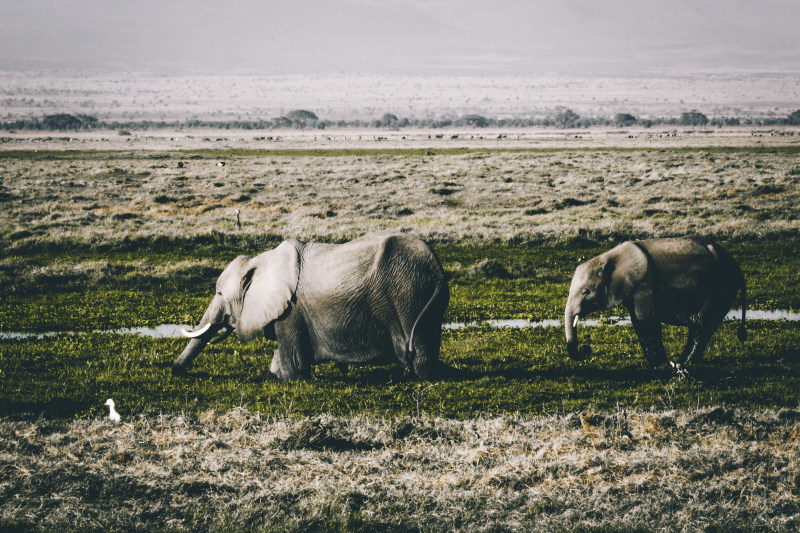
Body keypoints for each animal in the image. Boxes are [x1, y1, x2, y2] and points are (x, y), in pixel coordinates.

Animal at [173, 233, 450, 378]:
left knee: (417, 357)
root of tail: (436, 269)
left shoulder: (291, 310)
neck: (261, 261)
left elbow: (294, 366)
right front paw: (274, 373)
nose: (174, 371)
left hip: (408, 295)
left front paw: (287, 378)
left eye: (220, 293)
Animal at [564, 237, 748, 366]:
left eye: (585, 292)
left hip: (721, 286)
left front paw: (658, 365)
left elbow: (644, 320)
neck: (609, 258)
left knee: (701, 323)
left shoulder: (645, 281)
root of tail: (736, 267)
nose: (586, 349)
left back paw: (682, 363)